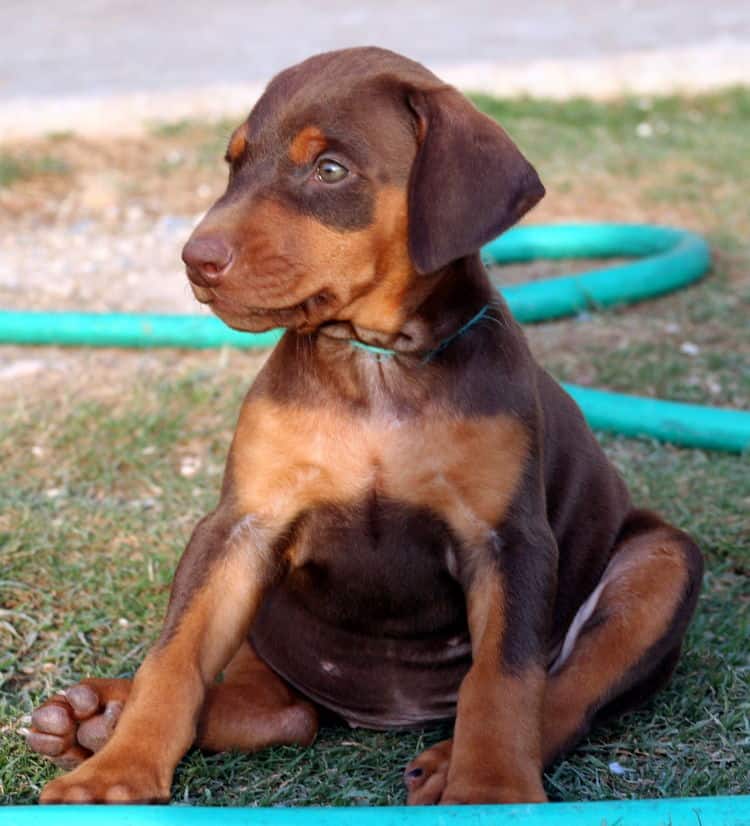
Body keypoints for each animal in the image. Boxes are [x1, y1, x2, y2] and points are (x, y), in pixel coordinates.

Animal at [25, 46, 704, 804]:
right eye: (235, 165)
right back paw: (95, 717)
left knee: (568, 691)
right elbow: (175, 658)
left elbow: (504, 680)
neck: (375, 362)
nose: (196, 260)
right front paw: (116, 772)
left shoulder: (510, 539)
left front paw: (490, 792)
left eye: (330, 170)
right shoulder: (239, 527)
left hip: (663, 563)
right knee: (278, 709)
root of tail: (379, 713)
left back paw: (446, 763)